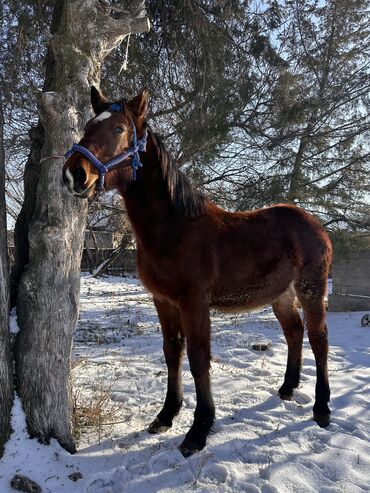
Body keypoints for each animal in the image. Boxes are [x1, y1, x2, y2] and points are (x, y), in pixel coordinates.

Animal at [62, 85, 332, 458]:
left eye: (118, 129)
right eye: (88, 126)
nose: (74, 174)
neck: (174, 229)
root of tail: (315, 224)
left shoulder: (194, 302)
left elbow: (198, 357)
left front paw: (198, 430)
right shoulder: (163, 301)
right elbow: (172, 353)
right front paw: (166, 415)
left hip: (311, 289)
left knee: (319, 339)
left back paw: (322, 408)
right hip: (281, 295)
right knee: (294, 331)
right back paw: (288, 388)